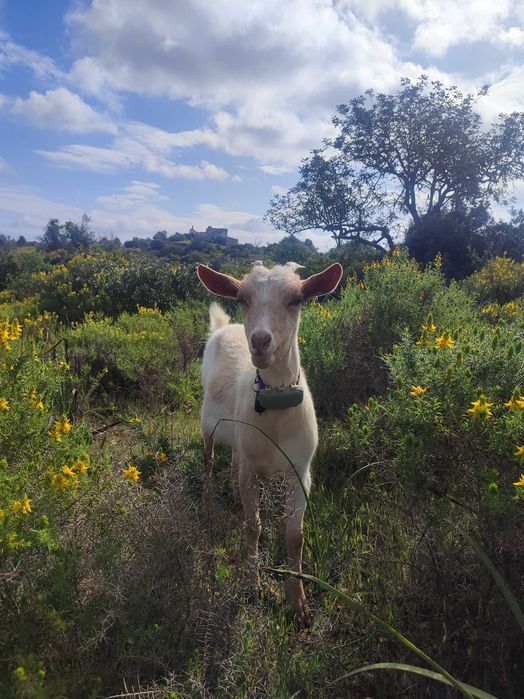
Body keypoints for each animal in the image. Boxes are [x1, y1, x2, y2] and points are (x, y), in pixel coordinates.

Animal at [197, 260, 343, 625]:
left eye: (297, 299)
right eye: (242, 298)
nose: (260, 341)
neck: (275, 405)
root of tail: (224, 327)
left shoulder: (300, 472)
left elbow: (295, 536)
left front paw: (298, 602)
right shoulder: (252, 472)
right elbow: (253, 527)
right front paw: (253, 585)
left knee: (232, 460)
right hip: (207, 422)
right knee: (208, 458)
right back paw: (208, 499)